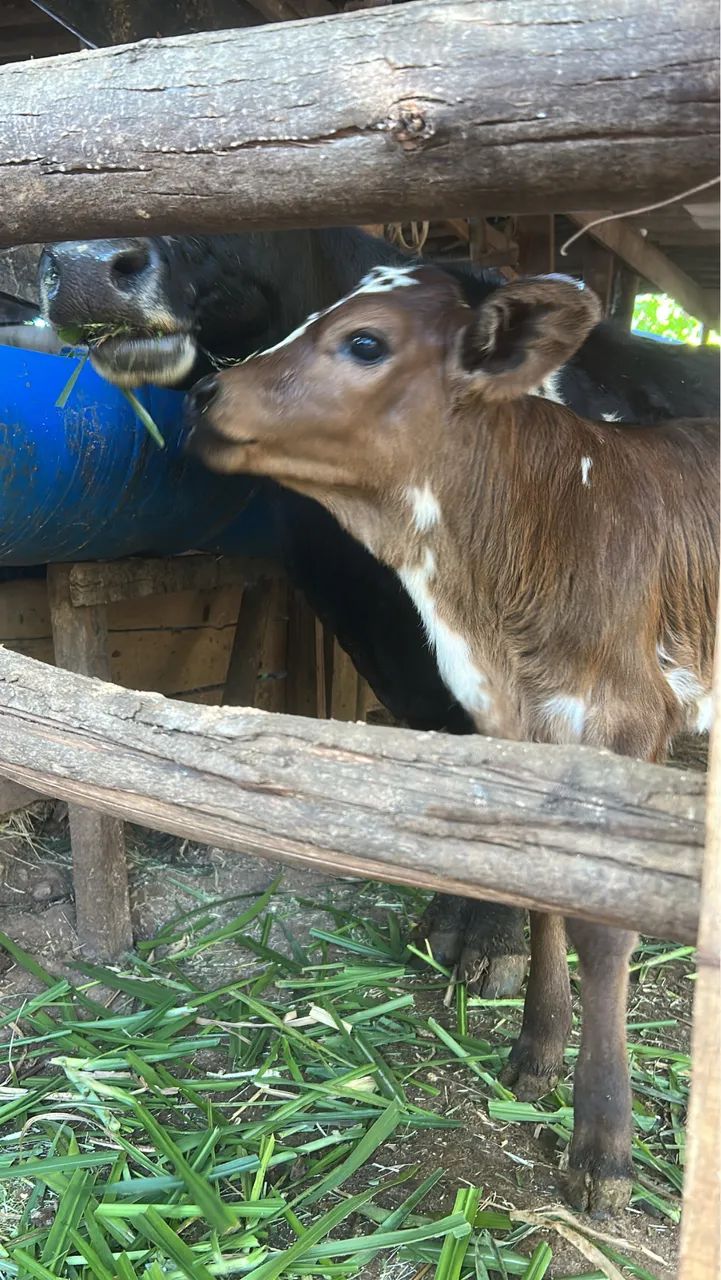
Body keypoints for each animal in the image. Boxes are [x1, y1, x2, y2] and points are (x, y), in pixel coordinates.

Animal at [183, 264, 719, 1214]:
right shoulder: (520, 729)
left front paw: (601, 1148)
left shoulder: (625, 723)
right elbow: (539, 896)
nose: (208, 390)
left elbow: (603, 933)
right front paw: (535, 1055)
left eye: (364, 341)